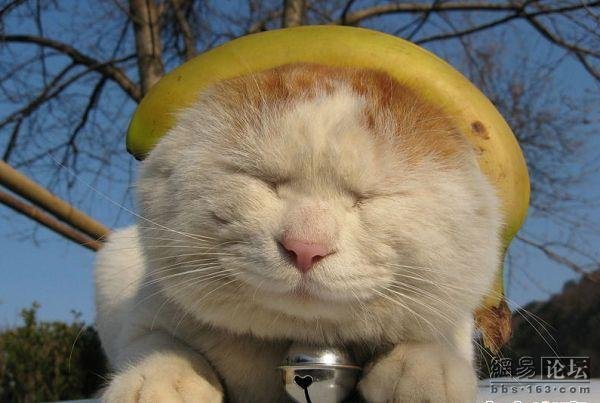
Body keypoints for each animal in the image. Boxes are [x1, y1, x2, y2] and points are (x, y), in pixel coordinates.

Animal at [95, 63, 502, 402]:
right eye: (266, 182)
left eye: (366, 198)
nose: (305, 248)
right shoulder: (141, 308)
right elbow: (154, 341)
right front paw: (161, 380)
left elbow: (432, 335)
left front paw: (425, 371)